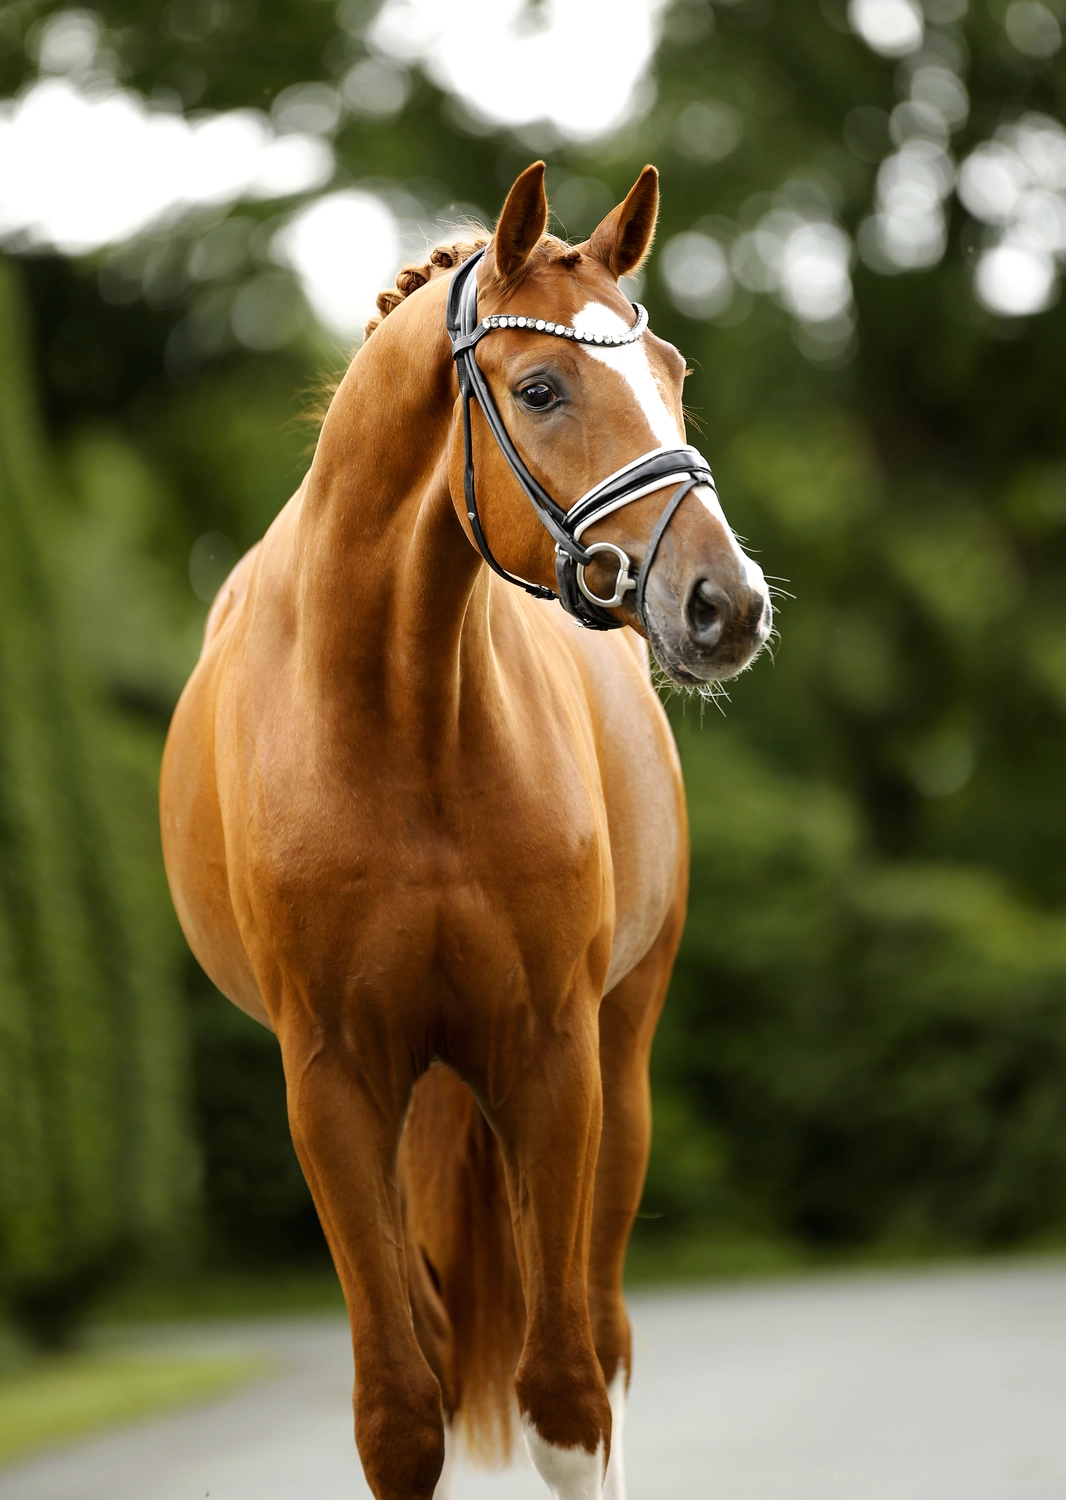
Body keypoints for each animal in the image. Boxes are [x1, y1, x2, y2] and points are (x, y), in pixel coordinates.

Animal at [160, 161, 772, 1500]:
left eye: (672, 371)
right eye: (539, 387)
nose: (726, 603)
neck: (403, 727)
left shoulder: (553, 1061)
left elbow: (568, 1398)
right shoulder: (331, 1087)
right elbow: (400, 1413)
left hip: (617, 1070)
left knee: (600, 1339)